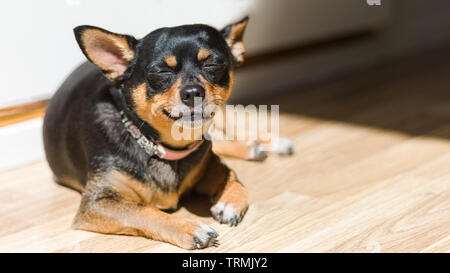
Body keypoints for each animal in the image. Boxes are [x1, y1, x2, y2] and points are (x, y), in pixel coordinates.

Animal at [41, 17, 288, 249]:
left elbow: (230, 172)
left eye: (213, 64)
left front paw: (231, 200)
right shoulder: (97, 202)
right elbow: (144, 211)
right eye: (161, 71)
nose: (192, 92)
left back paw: (267, 142)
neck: (164, 147)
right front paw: (190, 228)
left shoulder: (208, 161)